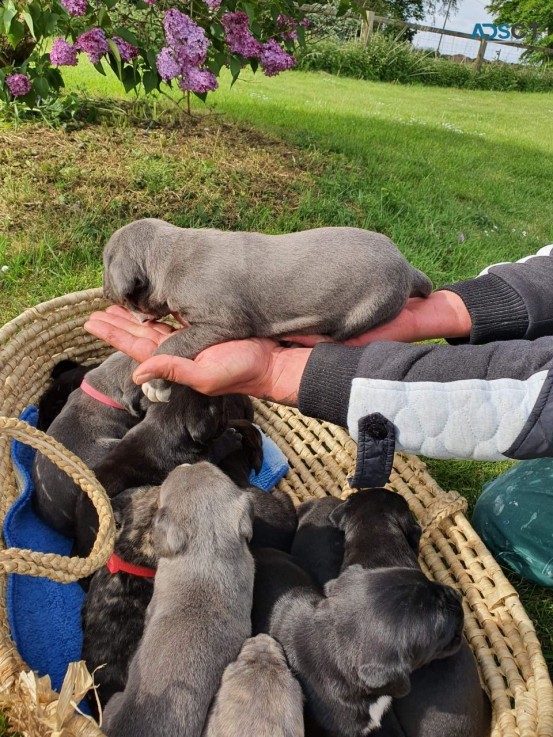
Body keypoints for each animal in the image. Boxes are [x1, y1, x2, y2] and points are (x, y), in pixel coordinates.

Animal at [102, 220, 432, 402]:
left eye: (105, 262)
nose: (104, 292)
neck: (170, 254)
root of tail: (408, 266)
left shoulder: (223, 322)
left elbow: (173, 343)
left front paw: (155, 384)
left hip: (368, 307)